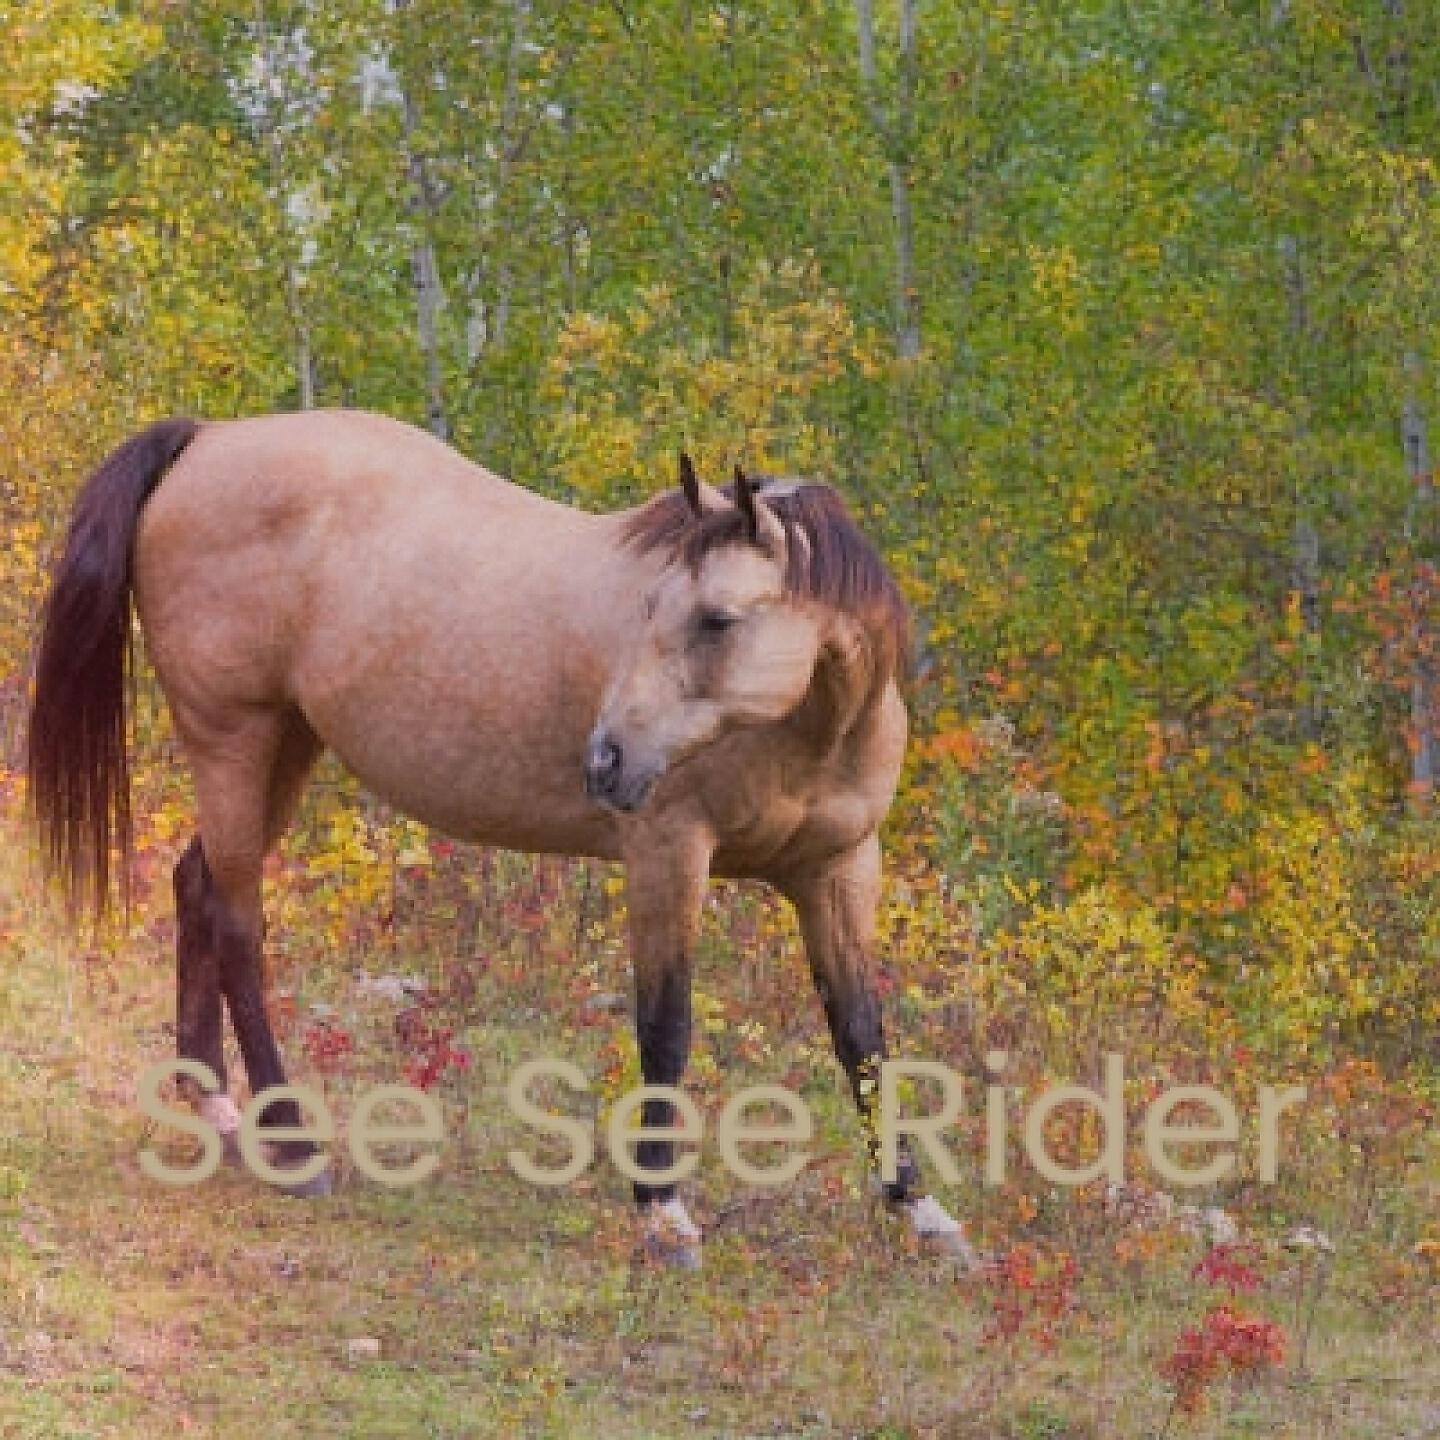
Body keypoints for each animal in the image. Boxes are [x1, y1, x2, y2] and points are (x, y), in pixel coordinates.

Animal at [25, 411, 979, 1267]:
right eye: (648, 604)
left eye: (717, 618)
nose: (606, 759)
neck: (806, 733)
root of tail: (208, 440)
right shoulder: (668, 857)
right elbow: (666, 1025)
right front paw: (663, 1215)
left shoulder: (838, 871)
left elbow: (861, 1032)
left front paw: (918, 1208)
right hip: (236, 739)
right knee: (236, 928)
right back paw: (291, 1143)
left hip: (286, 746)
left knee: (194, 888)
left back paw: (213, 1107)